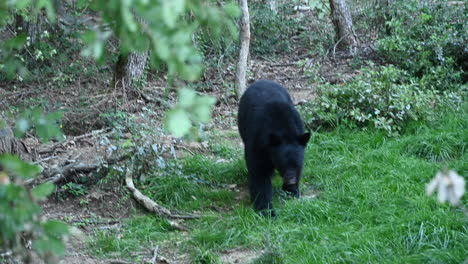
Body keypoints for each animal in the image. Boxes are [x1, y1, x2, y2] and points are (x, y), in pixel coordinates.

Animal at [238, 79, 310, 216]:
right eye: (282, 165)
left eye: (296, 164)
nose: (291, 180)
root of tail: (262, 80)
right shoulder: (257, 142)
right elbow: (259, 174)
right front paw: (266, 211)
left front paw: (291, 192)